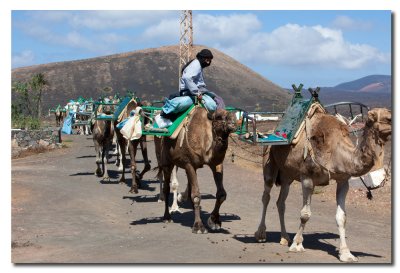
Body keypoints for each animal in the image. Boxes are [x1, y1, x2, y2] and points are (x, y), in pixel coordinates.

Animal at [255, 104, 392, 262]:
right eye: (388, 118)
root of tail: (270, 132)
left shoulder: (343, 181)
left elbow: (341, 217)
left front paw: (346, 253)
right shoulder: (307, 178)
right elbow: (305, 214)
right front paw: (297, 245)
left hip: (287, 175)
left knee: (280, 202)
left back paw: (284, 237)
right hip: (269, 162)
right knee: (266, 195)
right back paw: (260, 234)